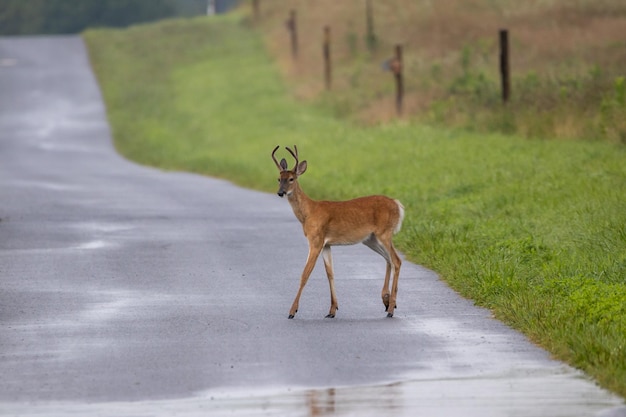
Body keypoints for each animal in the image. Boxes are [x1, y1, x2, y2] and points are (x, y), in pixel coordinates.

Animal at [270, 145, 402, 316]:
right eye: (279, 179)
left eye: (291, 179)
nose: (280, 192)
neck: (309, 212)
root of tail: (398, 204)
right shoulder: (326, 244)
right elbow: (330, 274)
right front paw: (332, 310)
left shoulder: (316, 240)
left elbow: (305, 274)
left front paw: (292, 311)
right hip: (370, 239)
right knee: (389, 260)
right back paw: (387, 301)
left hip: (384, 233)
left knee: (396, 261)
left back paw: (391, 308)